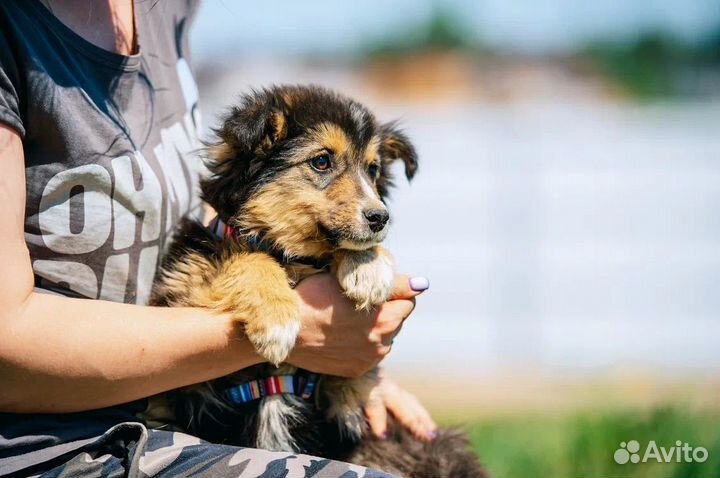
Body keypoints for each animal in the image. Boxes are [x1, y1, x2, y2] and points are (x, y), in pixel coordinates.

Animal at [149, 86, 486, 478]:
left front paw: (368, 267)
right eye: (321, 161)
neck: (290, 256)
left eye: (373, 169)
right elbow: (245, 256)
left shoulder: (350, 392)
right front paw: (276, 321)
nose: (380, 218)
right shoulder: (179, 307)